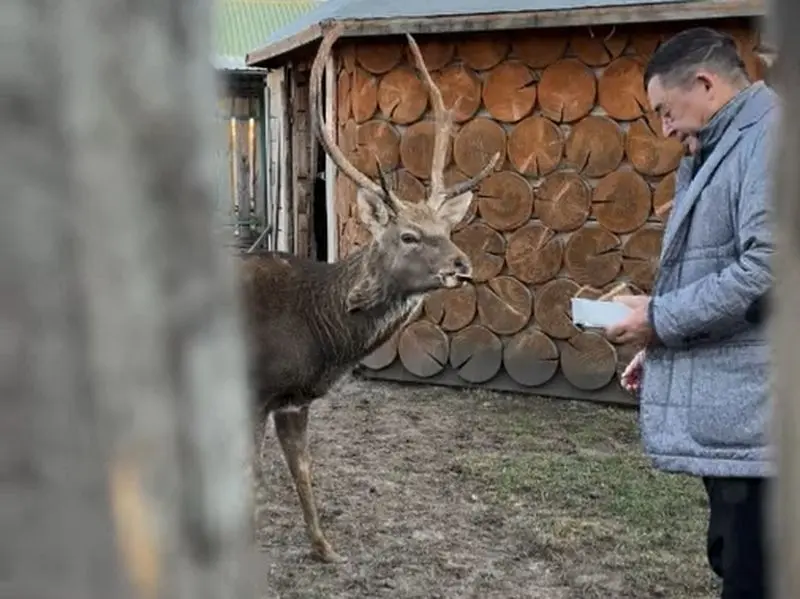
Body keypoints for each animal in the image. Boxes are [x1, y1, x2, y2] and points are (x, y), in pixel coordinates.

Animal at [238, 23, 500, 564]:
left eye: (448, 228)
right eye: (409, 236)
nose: (462, 266)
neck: (317, 332)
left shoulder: (293, 401)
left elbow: (303, 470)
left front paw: (325, 549)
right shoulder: (253, 391)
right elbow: (252, 481)